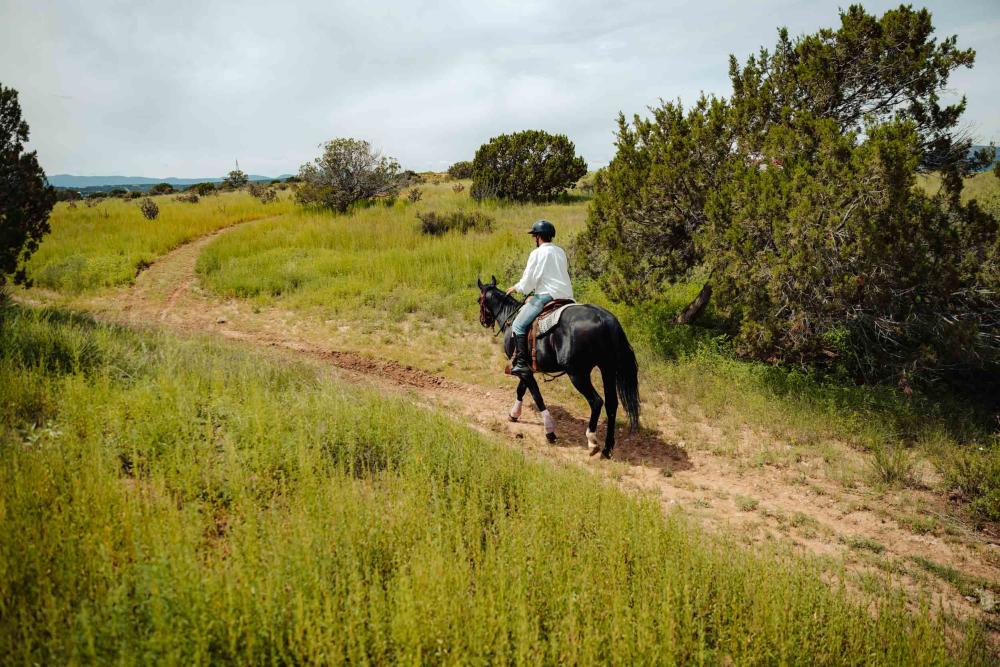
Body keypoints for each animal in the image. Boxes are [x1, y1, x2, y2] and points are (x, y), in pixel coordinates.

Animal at [477, 276, 640, 458]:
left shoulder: (523, 370)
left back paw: (592, 441)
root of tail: (606, 319)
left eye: (478, 300)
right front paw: (514, 414)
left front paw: (550, 432)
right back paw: (607, 448)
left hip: (578, 374)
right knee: (612, 404)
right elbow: (521, 390)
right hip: (607, 369)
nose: (483, 321)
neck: (510, 319)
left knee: (596, 401)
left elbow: (537, 396)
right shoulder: (526, 369)